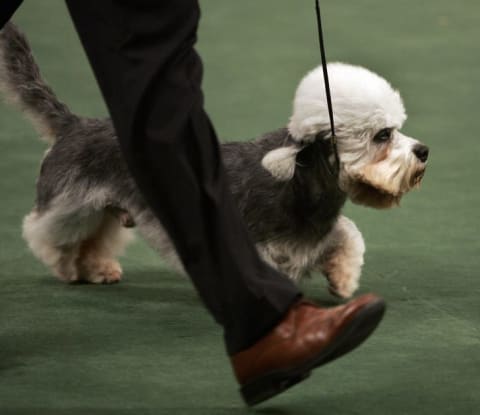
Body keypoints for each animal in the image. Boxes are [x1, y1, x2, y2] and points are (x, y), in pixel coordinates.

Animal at [0, 22, 428, 300]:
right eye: (382, 135)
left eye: (397, 128)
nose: (424, 151)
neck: (299, 181)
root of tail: (73, 124)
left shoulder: (316, 233)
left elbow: (348, 236)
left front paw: (342, 280)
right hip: (72, 203)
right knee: (45, 231)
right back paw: (68, 268)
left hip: (107, 209)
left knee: (94, 238)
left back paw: (97, 269)